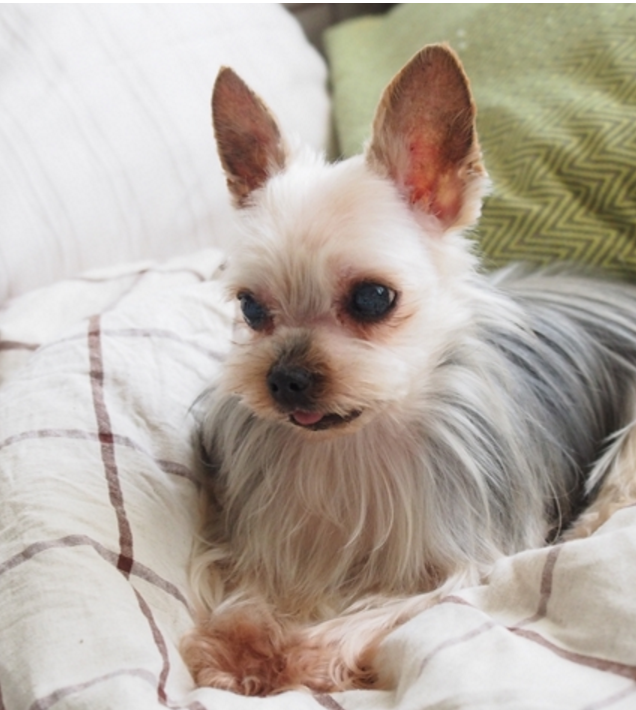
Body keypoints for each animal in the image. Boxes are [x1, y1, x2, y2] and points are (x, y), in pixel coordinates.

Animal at [181, 44, 636, 696]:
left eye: (373, 298)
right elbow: (255, 584)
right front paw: (240, 644)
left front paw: (306, 655)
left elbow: (392, 607)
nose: (285, 379)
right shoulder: (265, 540)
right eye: (251, 307)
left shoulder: (468, 564)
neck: (357, 442)